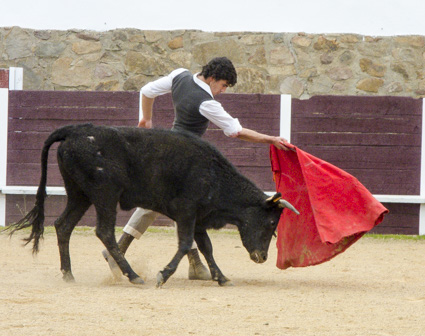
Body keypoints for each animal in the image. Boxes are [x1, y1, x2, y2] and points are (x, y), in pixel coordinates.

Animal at [7, 124, 298, 288]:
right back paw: (133, 276)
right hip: (105, 194)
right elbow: (185, 244)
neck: (214, 174)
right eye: (271, 222)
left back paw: (68, 274)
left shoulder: (198, 218)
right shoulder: (186, 212)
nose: (262, 257)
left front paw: (222, 278)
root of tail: (72, 131)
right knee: (104, 231)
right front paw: (163, 275)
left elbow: (206, 247)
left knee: (63, 225)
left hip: (79, 195)